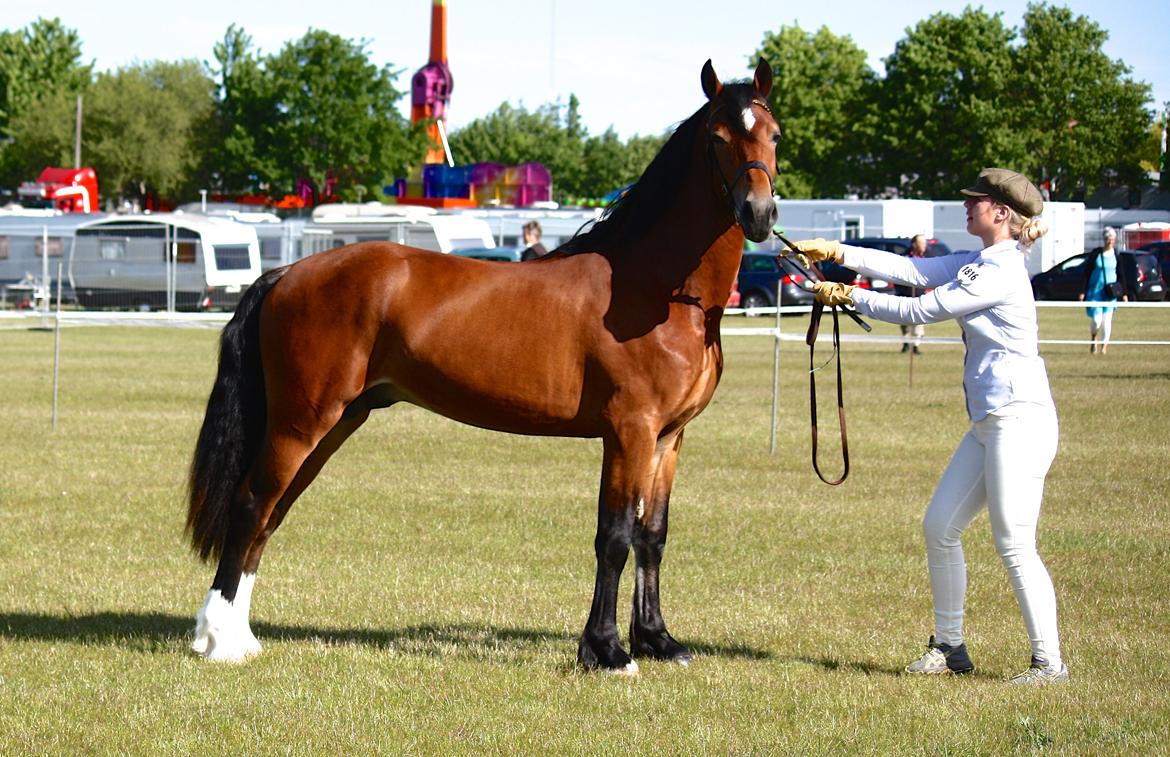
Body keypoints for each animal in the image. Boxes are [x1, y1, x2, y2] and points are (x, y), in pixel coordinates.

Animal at [189, 60, 776, 673]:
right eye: (718, 138)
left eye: (774, 135)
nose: (759, 214)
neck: (654, 290)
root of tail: (287, 274)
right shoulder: (629, 432)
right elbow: (614, 536)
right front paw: (607, 650)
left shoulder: (668, 438)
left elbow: (651, 536)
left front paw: (658, 641)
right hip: (301, 423)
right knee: (252, 504)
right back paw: (218, 640)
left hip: (333, 422)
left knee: (271, 512)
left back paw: (239, 636)